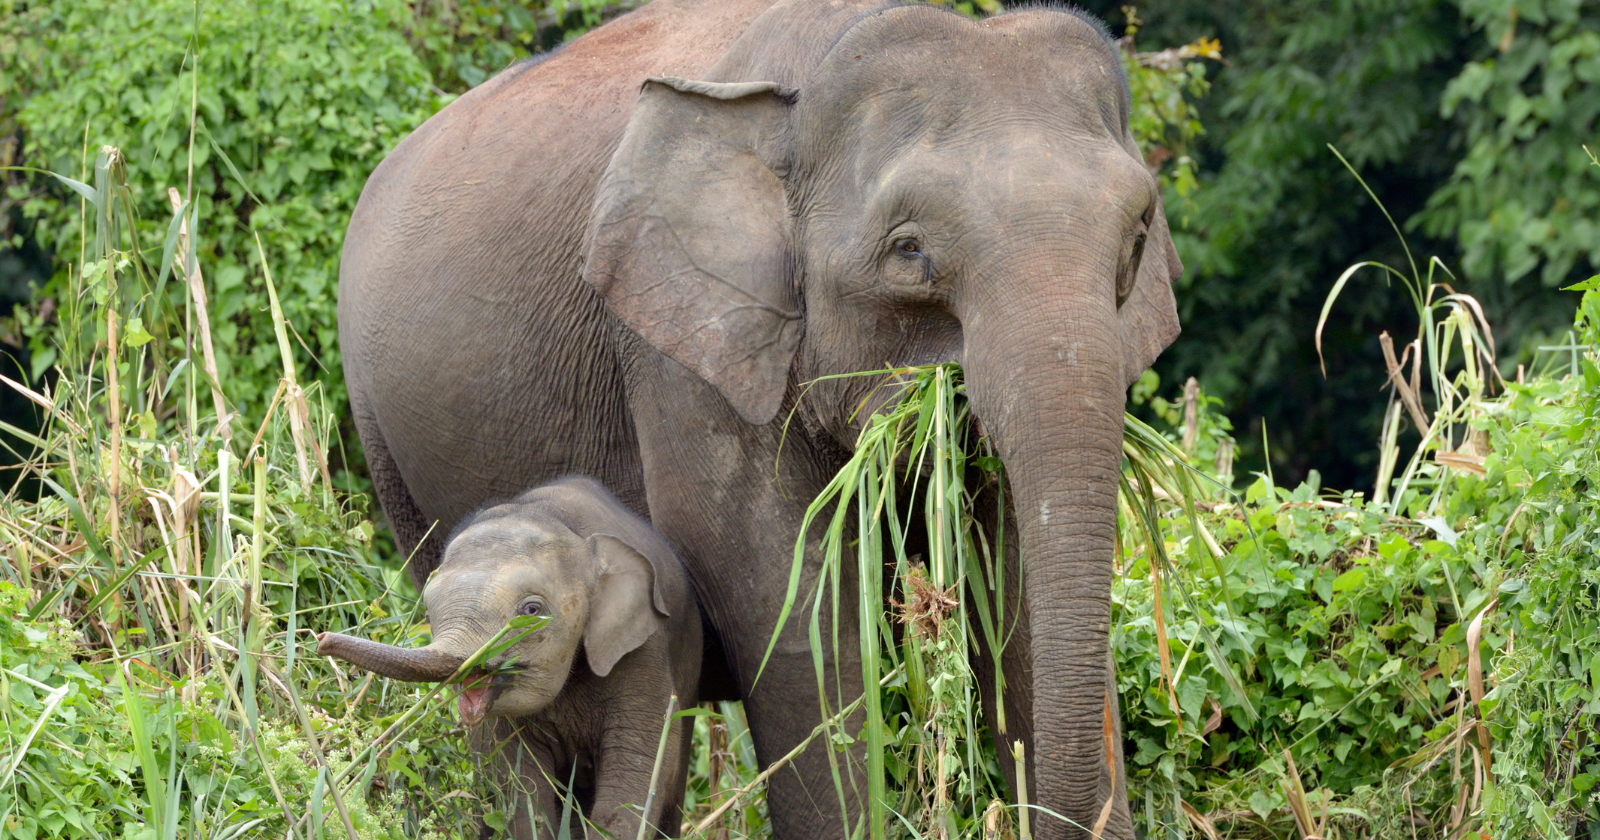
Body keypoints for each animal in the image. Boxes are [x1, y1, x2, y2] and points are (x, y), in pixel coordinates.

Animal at [316, 476, 701, 838]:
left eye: (531, 610)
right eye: (426, 610)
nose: (320, 641)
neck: (558, 519)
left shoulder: (643, 655)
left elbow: (634, 774)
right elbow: (517, 785)